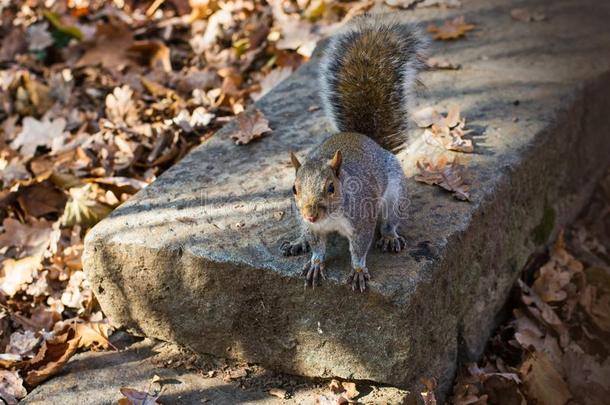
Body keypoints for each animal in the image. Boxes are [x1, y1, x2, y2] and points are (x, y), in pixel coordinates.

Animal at [280, 13, 426, 290]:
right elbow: (317, 246)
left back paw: (390, 236)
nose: (310, 215)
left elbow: (359, 248)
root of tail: (364, 137)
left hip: (395, 196)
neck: (331, 217)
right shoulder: (315, 228)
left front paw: (358, 270)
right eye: (294, 188)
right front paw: (315, 262)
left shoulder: (362, 220)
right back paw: (298, 242)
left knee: (390, 220)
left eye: (331, 188)